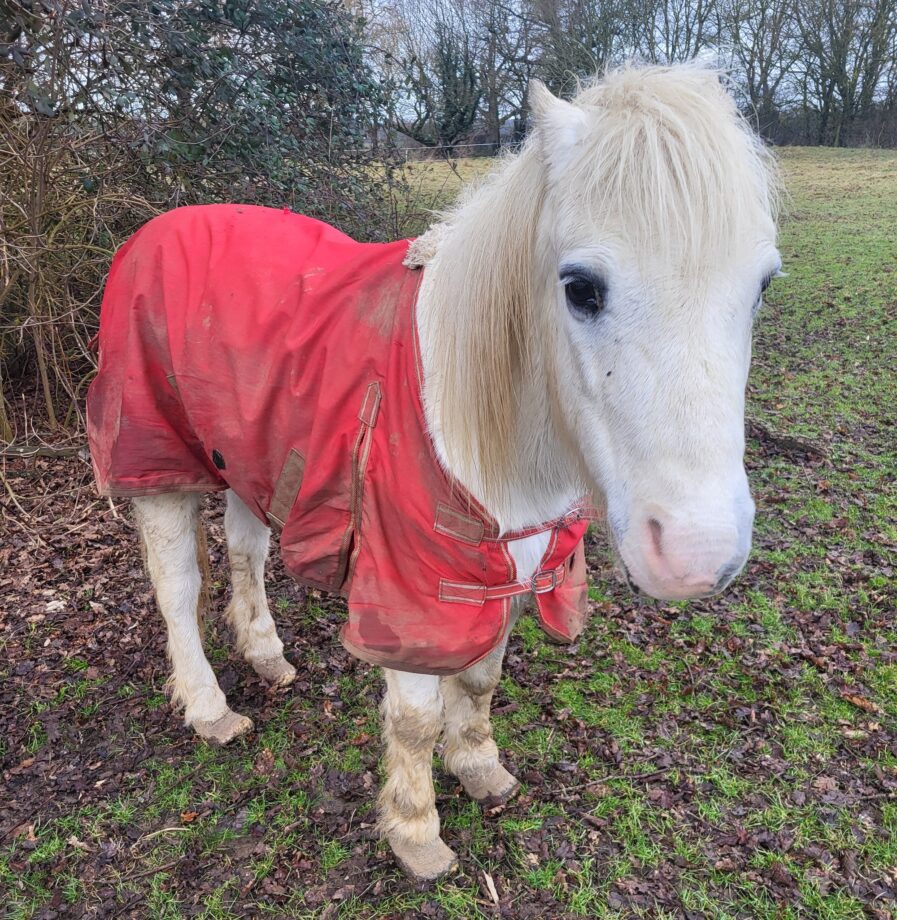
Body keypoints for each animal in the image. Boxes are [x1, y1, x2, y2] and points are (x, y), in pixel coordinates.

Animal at [86, 64, 780, 881]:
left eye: (763, 284)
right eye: (579, 286)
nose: (697, 556)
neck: (470, 418)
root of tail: (154, 229)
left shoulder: (509, 566)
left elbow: (479, 678)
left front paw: (479, 767)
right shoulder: (408, 593)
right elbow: (414, 719)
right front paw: (415, 832)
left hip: (251, 456)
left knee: (246, 551)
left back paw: (267, 656)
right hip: (156, 464)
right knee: (178, 588)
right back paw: (210, 710)